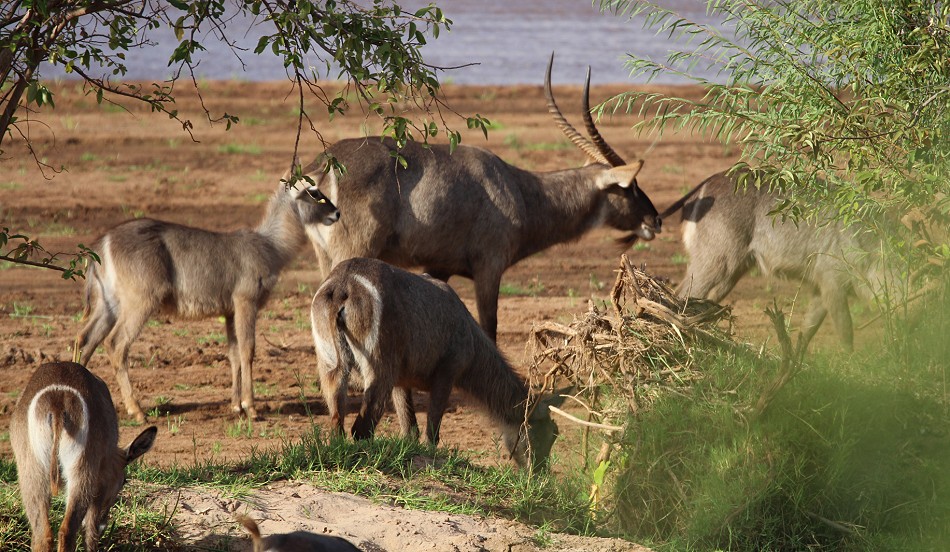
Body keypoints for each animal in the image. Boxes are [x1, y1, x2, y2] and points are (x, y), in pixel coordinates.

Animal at [9, 362, 156, 552]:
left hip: (32, 471)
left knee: (42, 535)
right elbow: (90, 531)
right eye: (124, 481)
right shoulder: (100, 482)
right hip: (82, 471)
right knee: (68, 531)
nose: (104, 524)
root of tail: (58, 398)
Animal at [76, 170, 340, 420]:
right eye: (313, 191)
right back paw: (137, 410)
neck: (271, 246)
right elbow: (248, 350)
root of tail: (103, 242)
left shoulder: (229, 311)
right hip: (140, 302)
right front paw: (251, 407)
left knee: (85, 340)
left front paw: (236, 405)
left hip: (108, 304)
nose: (336, 213)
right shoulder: (246, 302)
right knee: (115, 344)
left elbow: (233, 353)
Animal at [304, 54, 660, 342]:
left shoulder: (438, 267)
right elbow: (489, 328)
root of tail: (324, 165)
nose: (655, 220)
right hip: (353, 251)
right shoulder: (490, 267)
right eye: (629, 186)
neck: (521, 192)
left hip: (325, 257)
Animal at [312, 258, 564, 470]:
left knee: (337, 420)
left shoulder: (401, 379)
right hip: (379, 366)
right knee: (361, 427)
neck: (471, 335)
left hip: (330, 363)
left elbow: (410, 430)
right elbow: (431, 431)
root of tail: (343, 284)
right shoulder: (447, 372)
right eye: (552, 433)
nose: (539, 475)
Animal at [660, 167, 892, 350]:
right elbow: (845, 332)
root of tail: (705, 185)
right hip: (715, 262)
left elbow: (807, 331)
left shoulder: (822, 288)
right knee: (682, 295)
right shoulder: (832, 282)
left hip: (731, 272)